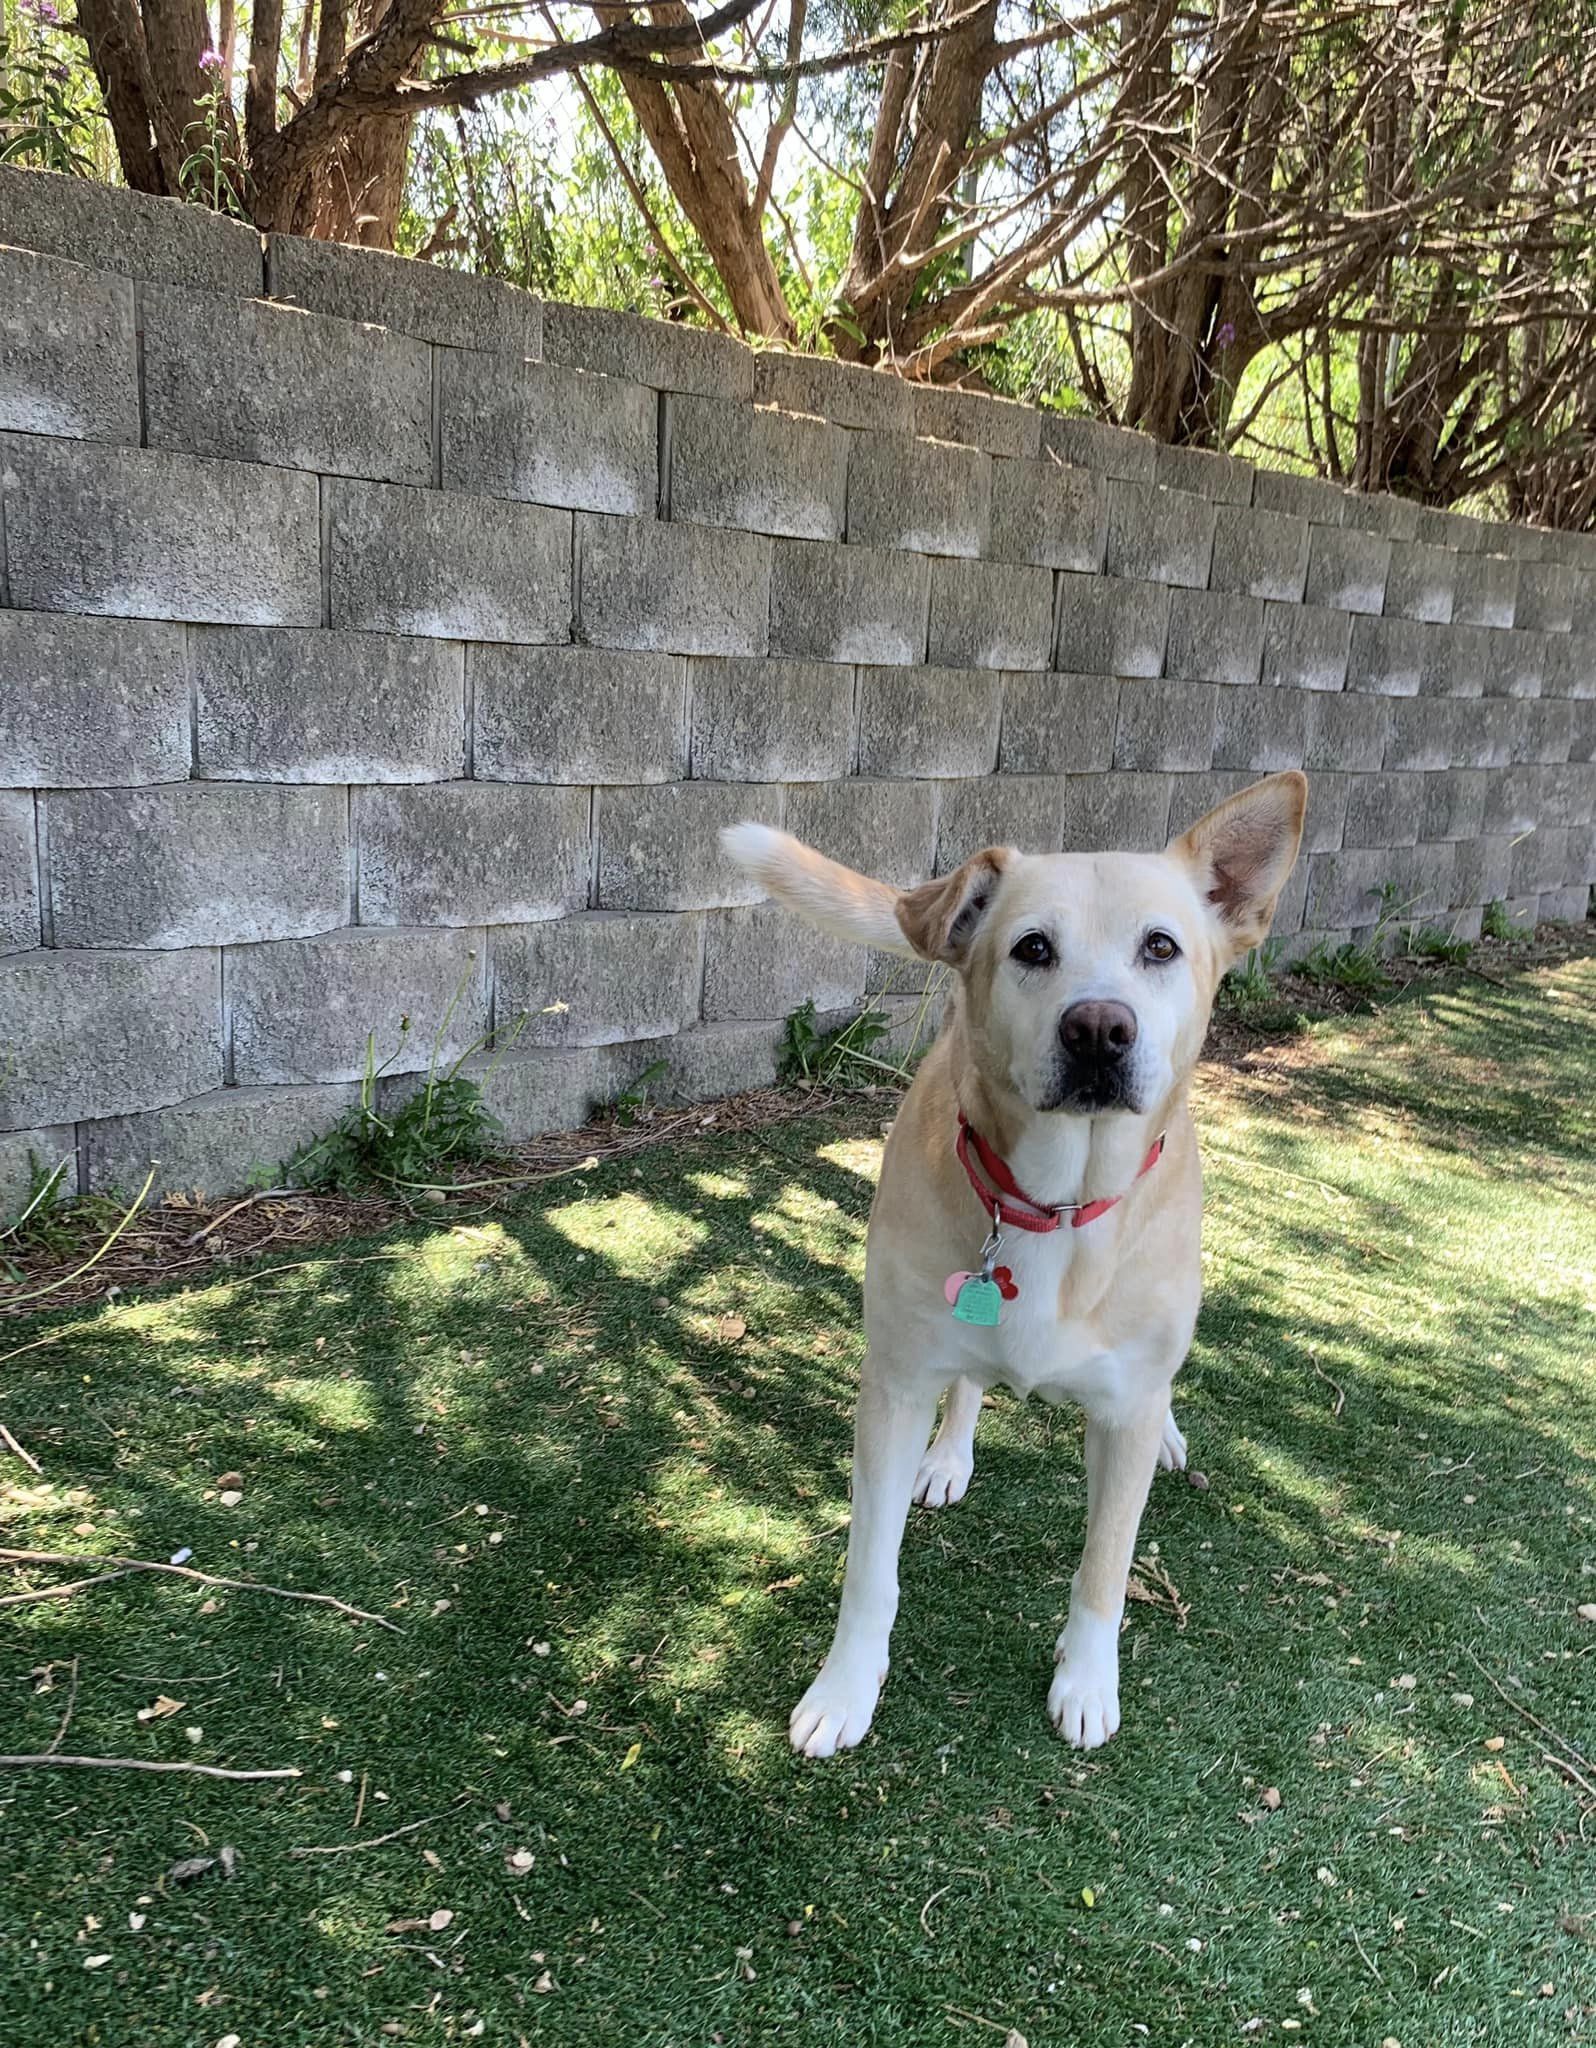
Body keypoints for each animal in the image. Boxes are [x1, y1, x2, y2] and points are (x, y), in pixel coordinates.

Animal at [725, 770, 1311, 1761]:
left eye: (1161, 946)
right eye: (1033, 947)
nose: (1099, 1029)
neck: (1058, 1204)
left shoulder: (1123, 1416)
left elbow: (1106, 1569)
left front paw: (1085, 1683)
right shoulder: (893, 1386)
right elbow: (869, 1570)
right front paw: (845, 1690)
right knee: (968, 1382)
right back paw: (949, 1455)